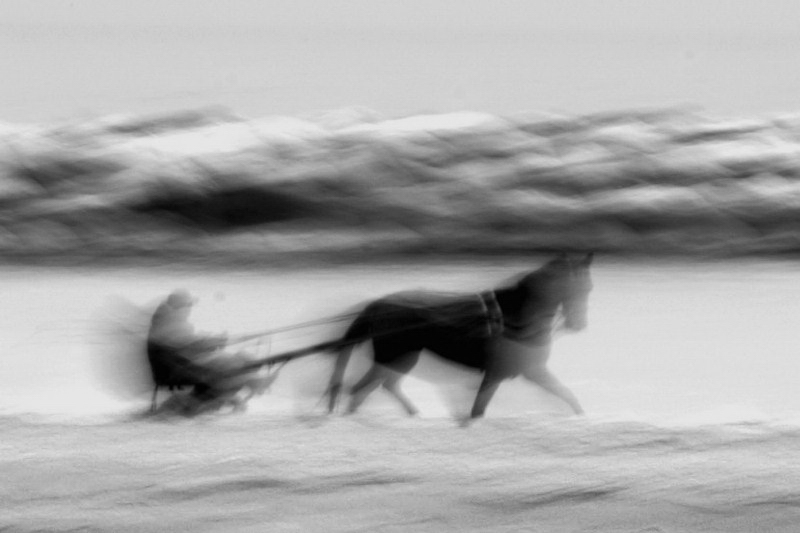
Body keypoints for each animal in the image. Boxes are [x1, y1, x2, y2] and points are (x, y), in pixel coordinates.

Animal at [326, 252, 593, 420]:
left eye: (588, 288)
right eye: (571, 287)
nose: (578, 324)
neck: (516, 318)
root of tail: (378, 304)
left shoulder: (531, 370)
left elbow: (568, 395)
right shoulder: (501, 373)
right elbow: (478, 410)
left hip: (402, 358)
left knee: (379, 386)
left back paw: (413, 414)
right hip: (396, 357)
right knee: (361, 389)